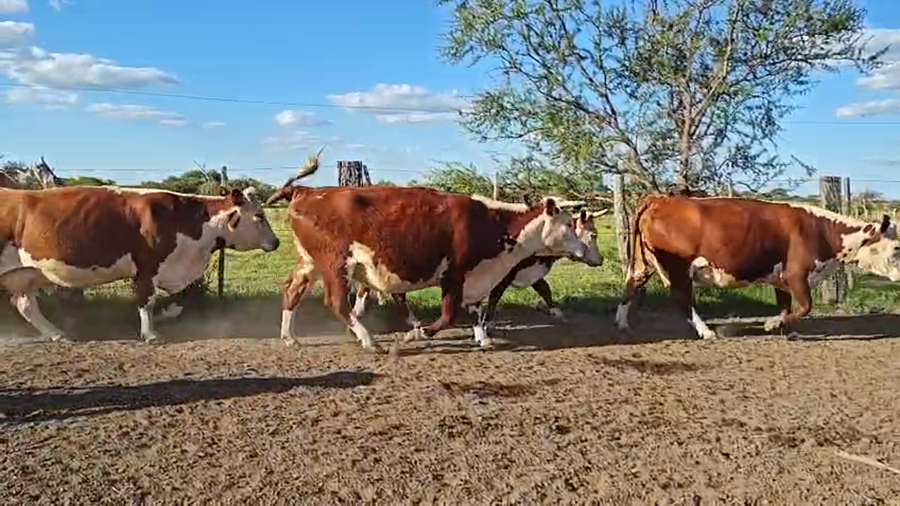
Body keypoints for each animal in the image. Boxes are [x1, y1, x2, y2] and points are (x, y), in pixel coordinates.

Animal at [0, 185, 280, 343]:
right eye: (259, 215)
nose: (276, 242)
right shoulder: (147, 267)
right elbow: (146, 302)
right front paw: (151, 334)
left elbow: (176, 301)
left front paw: (168, 314)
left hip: (23, 274)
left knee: (26, 305)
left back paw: (57, 333)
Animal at [350, 207, 609, 347]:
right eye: (593, 234)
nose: (600, 260)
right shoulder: (501, 274)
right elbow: (493, 299)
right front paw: (487, 325)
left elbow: (544, 289)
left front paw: (558, 312)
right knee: (392, 293)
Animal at [614, 195, 900, 340]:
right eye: (896, 248)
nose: (899, 274)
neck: (821, 231)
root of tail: (660, 198)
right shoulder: (796, 274)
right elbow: (805, 306)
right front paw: (772, 325)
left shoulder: (781, 279)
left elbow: (787, 306)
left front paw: (786, 329)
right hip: (678, 267)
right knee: (682, 298)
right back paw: (706, 331)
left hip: (642, 263)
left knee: (631, 285)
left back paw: (622, 323)